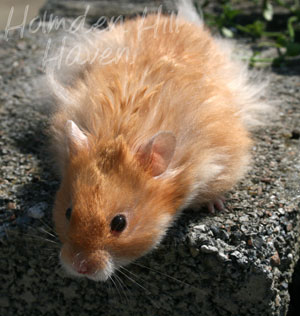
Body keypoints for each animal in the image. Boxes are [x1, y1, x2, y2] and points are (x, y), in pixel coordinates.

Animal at [47, 3, 268, 282]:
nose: (79, 267)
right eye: (68, 213)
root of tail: (171, 18)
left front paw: (214, 206)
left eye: (119, 223)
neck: (122, 133)